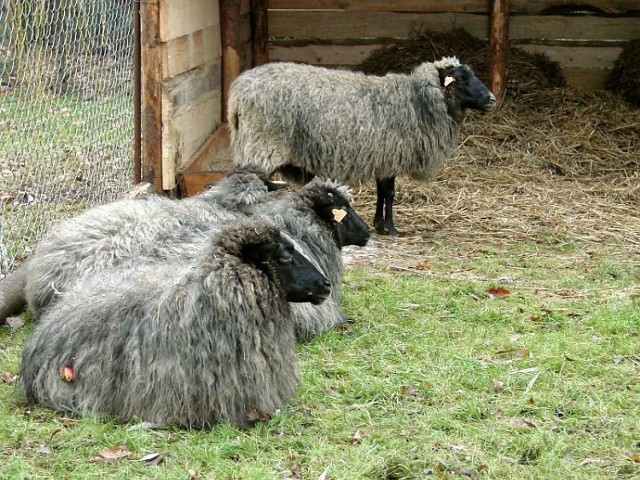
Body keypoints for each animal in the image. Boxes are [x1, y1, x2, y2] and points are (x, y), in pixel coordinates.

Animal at [228, 56, 498, 234]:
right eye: (461, 79)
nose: (492, 99)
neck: (415, 100)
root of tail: (237, 93)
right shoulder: (390, 155)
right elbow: (389, 193)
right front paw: (390, 228)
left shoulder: (383, 156)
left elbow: (382, 192)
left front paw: (379, 224)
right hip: (261, 145)